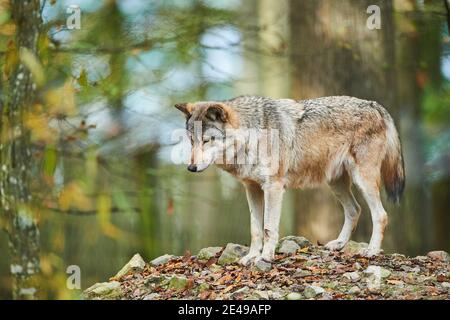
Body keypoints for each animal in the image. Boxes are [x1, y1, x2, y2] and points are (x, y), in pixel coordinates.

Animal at [174, 95, 406, 264]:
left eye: (207, 141)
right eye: (192, 141)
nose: (191, 168)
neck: (252, 137)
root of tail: (375, 105)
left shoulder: (273, 188)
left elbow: (268, 228)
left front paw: (265, 257)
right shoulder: (252, 189)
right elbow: (255, 229)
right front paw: (251, 257)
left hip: (363, 179)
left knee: (381, 215)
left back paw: (372, 250)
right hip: (336, 183)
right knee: (354, 210)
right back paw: (339, 244)